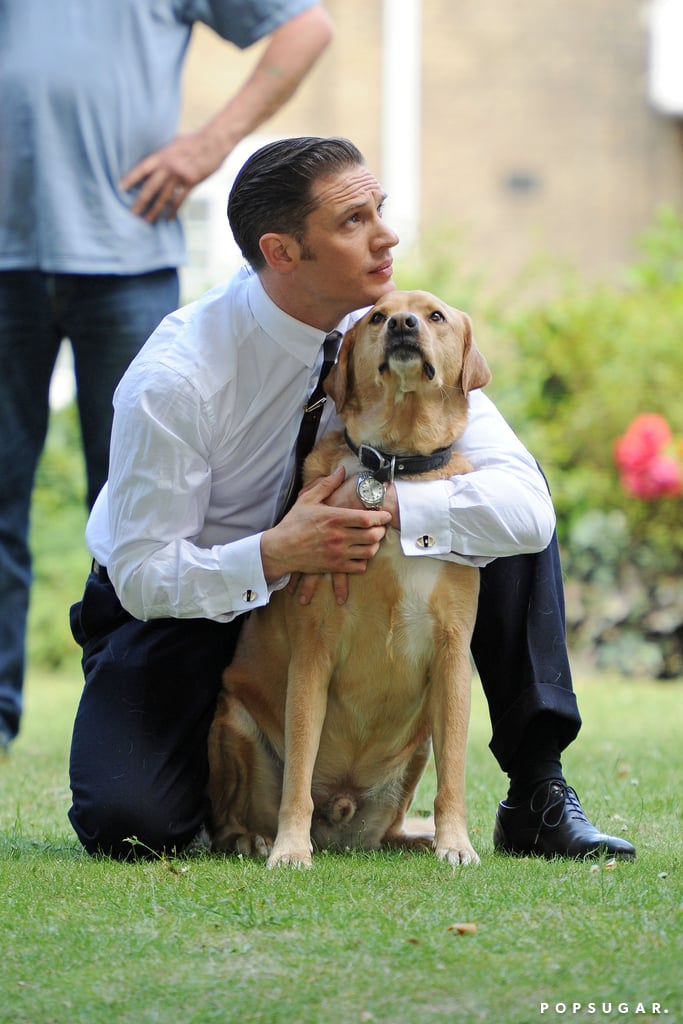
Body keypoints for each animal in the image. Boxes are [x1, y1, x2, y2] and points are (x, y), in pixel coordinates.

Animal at [208, 292, 491, 868]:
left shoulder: (453, 653)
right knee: (230, 818)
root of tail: (341, 817)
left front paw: (455, 843)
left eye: (435, 316)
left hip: (416, 746)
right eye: (378, 316)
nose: (403, 324)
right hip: (233, 722)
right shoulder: (313, 653)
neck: (396, 468)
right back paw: (254, 838)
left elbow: (453, 773)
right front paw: (290, 850)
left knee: (392, 825)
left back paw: (416, 839)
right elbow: (298, 768)